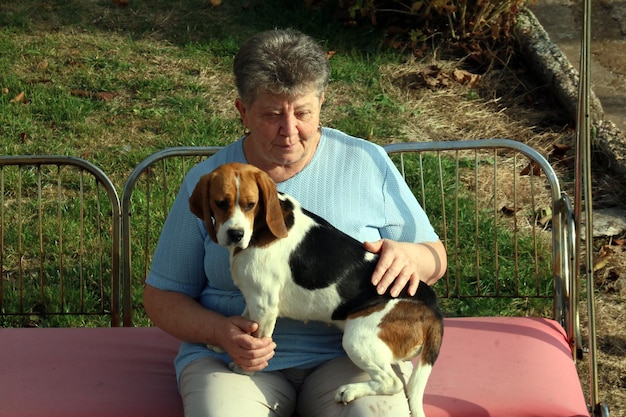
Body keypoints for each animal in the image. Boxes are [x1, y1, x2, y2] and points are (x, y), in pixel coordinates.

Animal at [188, 162, 442, 416]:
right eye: (220, 203)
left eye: (250, 204)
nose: (235, 234)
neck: (260, 229)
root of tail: (433, 308)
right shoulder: (253, 299)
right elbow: (244, 325)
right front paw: (225, 342)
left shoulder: (264, 304)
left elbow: (257, 341)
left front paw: (245, 370)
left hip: (357, 339)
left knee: (392, 382)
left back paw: (350, 390)